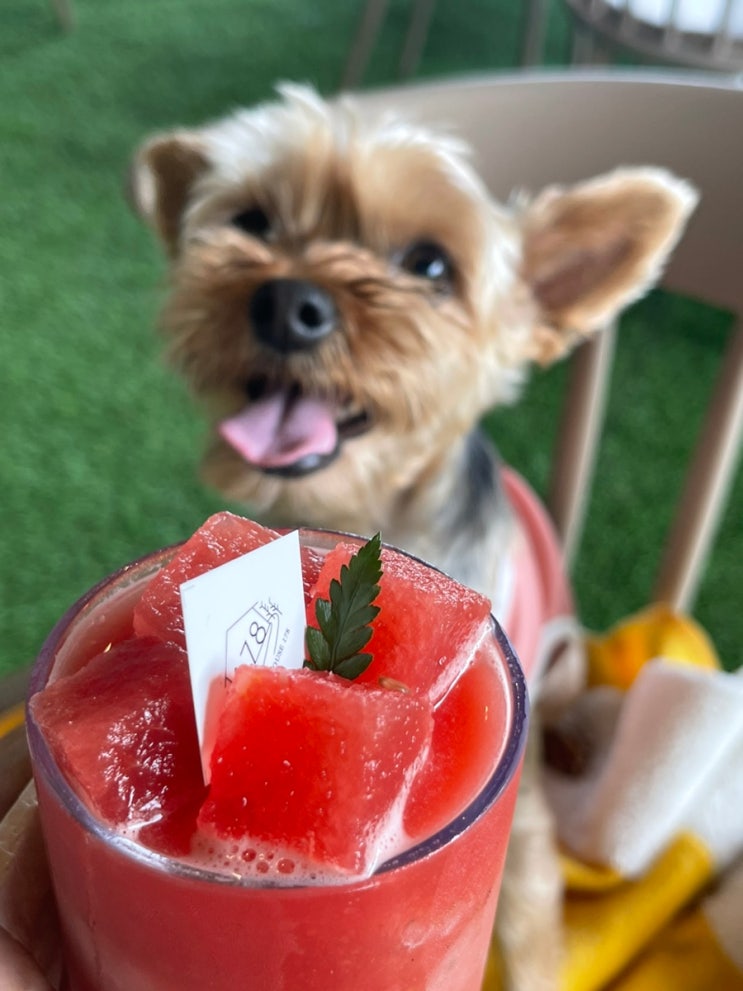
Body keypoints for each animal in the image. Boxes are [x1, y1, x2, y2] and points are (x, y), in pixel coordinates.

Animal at [130, 84, 697, 989]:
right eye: (252, 220)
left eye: (430, 266)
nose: (286, 302)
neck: (375, 509)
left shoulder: (520, 828)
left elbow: (529, 925)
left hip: (562, 654)